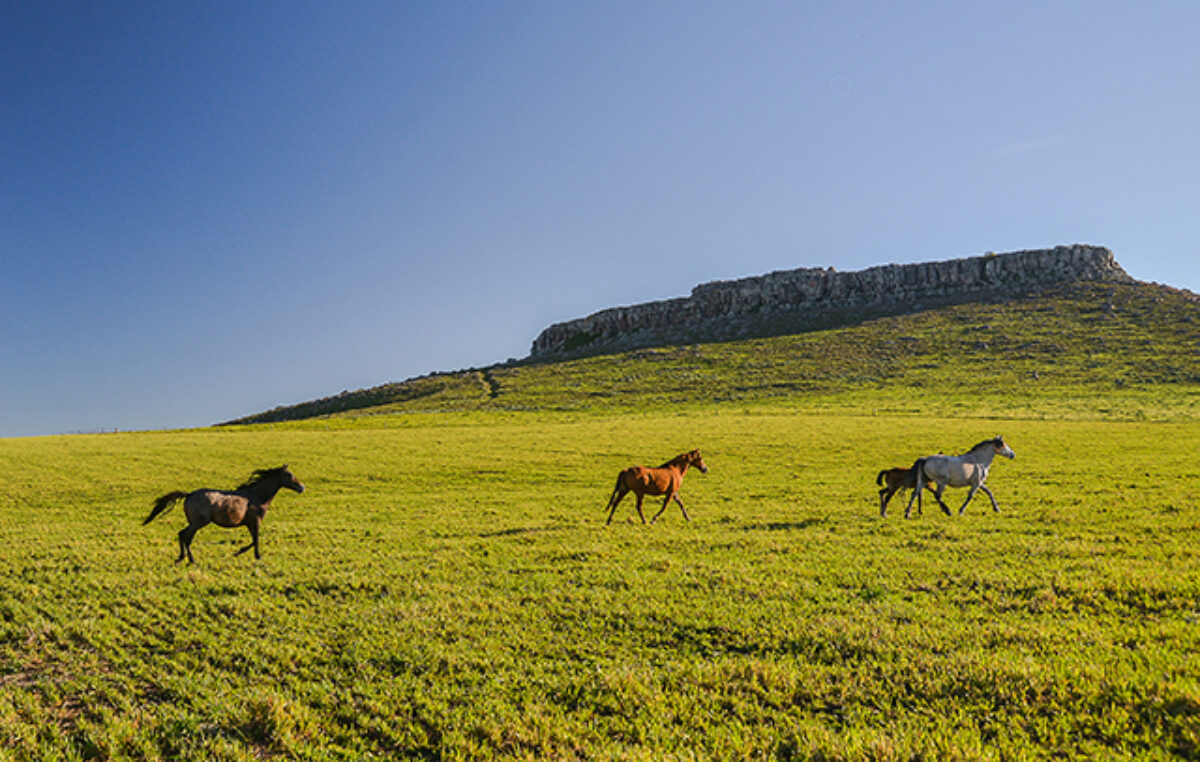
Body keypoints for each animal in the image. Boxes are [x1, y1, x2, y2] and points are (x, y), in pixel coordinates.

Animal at [141, 463, 304, 564]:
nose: (302, 487)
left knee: (183, 535)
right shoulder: (255, 521)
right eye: (289, 475)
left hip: (194, 523)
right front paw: (253, 555)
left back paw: (183, 559)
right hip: (198, 522)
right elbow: (256, 539)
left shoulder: (250, 523)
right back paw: (189, 560)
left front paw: (241, 552)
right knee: (186, 536)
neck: (256, 495)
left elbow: (253, 539)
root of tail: (189, 495)